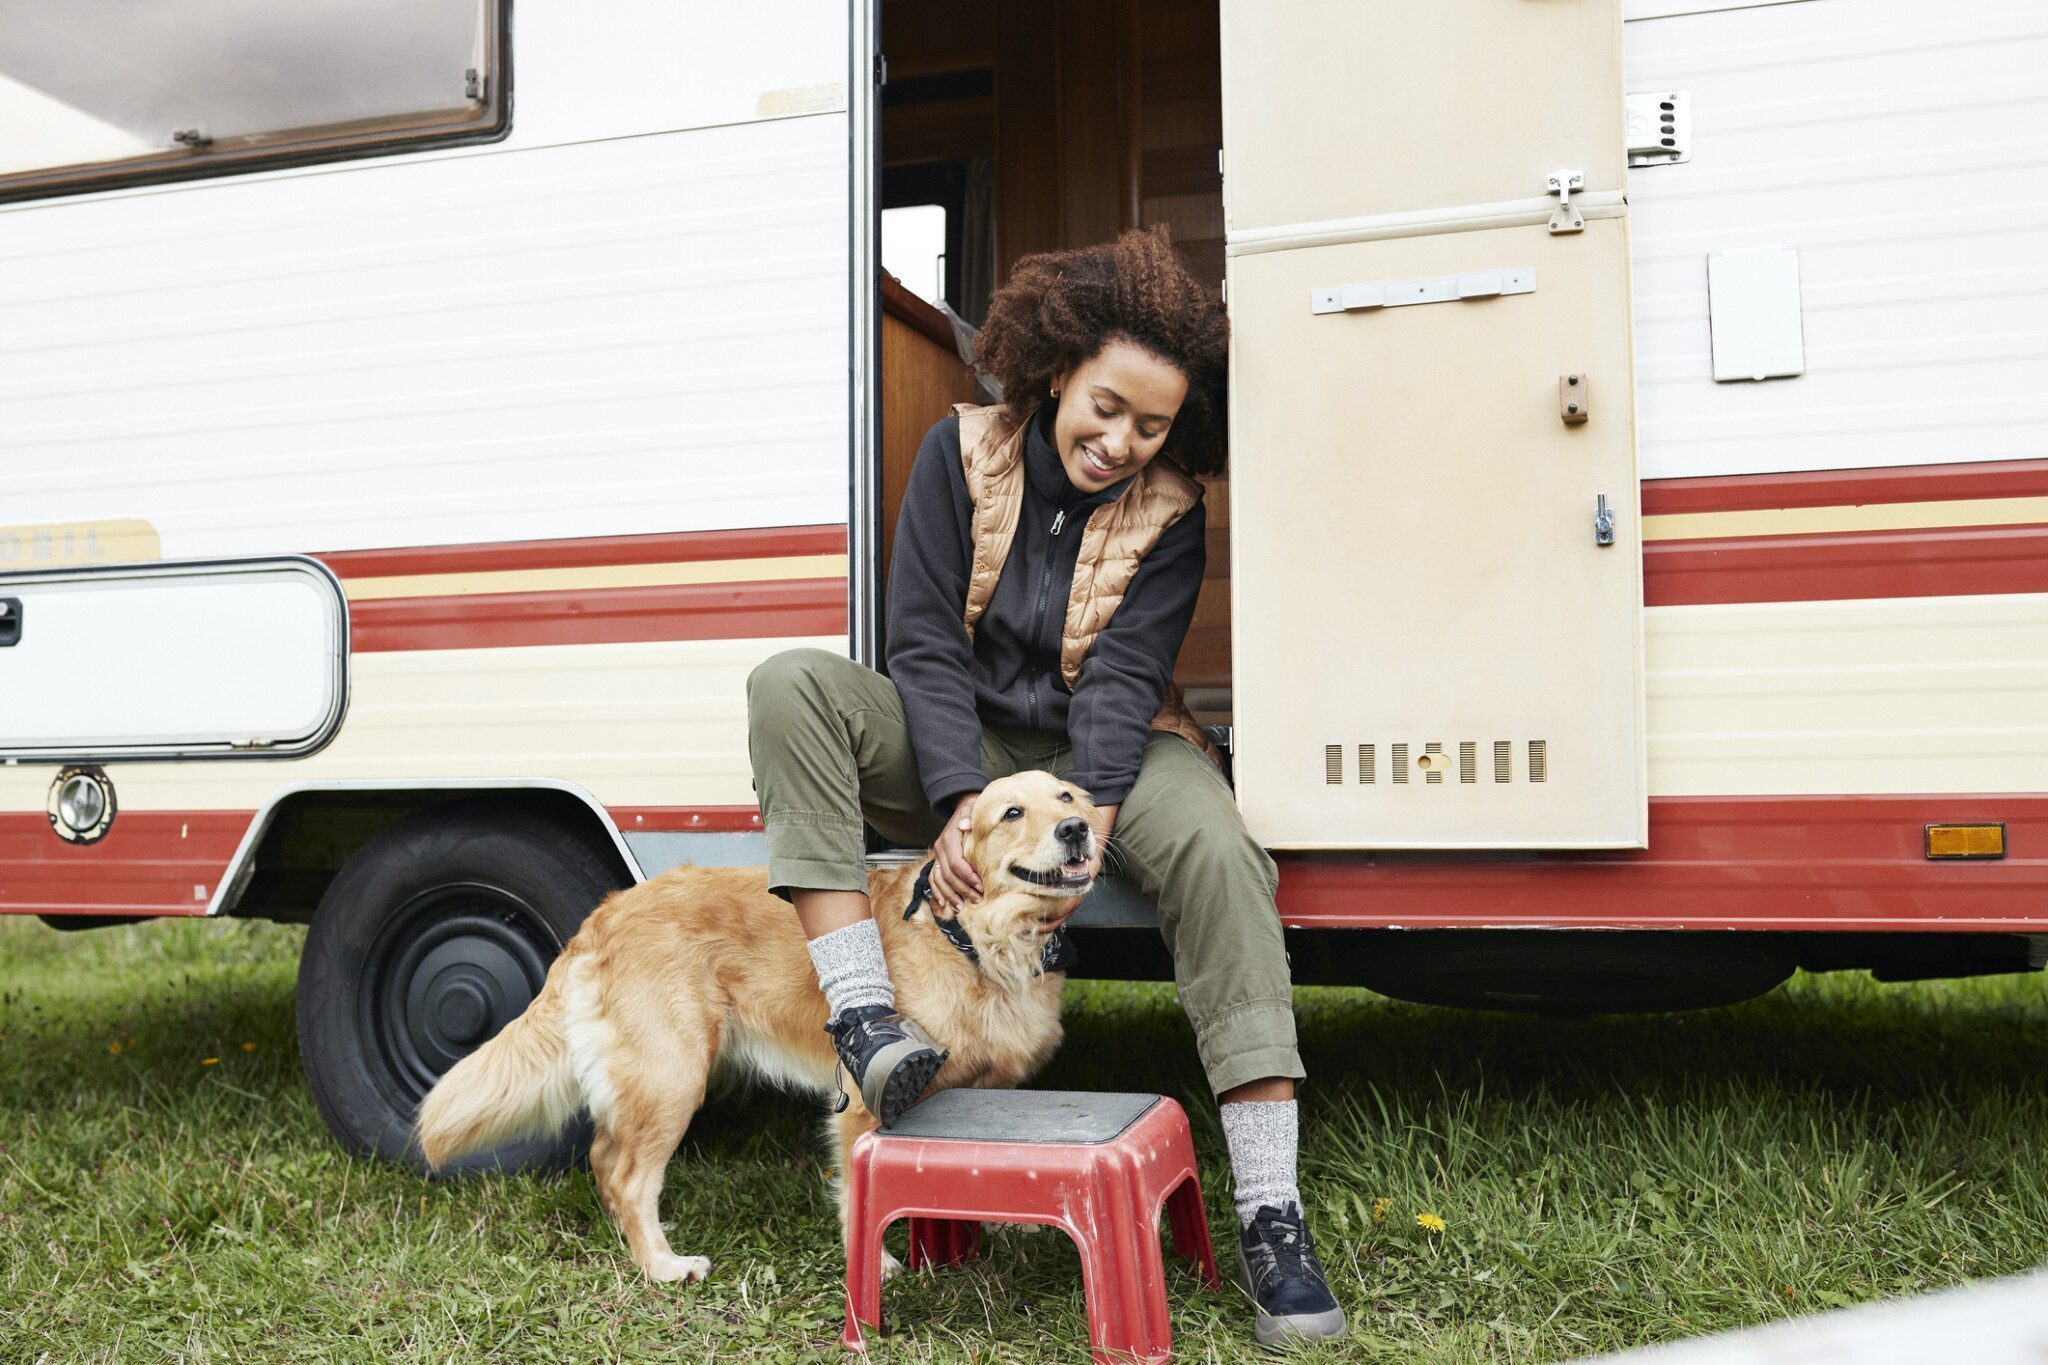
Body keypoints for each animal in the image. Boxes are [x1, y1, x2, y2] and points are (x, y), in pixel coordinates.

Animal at [407, 773, 1097, 1285]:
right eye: (1012, 812)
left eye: (1066, 797)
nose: (1078, 829)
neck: (979, 941)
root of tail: (605, 913)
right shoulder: (862, 1106)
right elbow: (859, 1197)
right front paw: (877, 1263)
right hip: (673, 1076)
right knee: (628, 1176)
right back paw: (663, 1266)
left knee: (605, 1159)